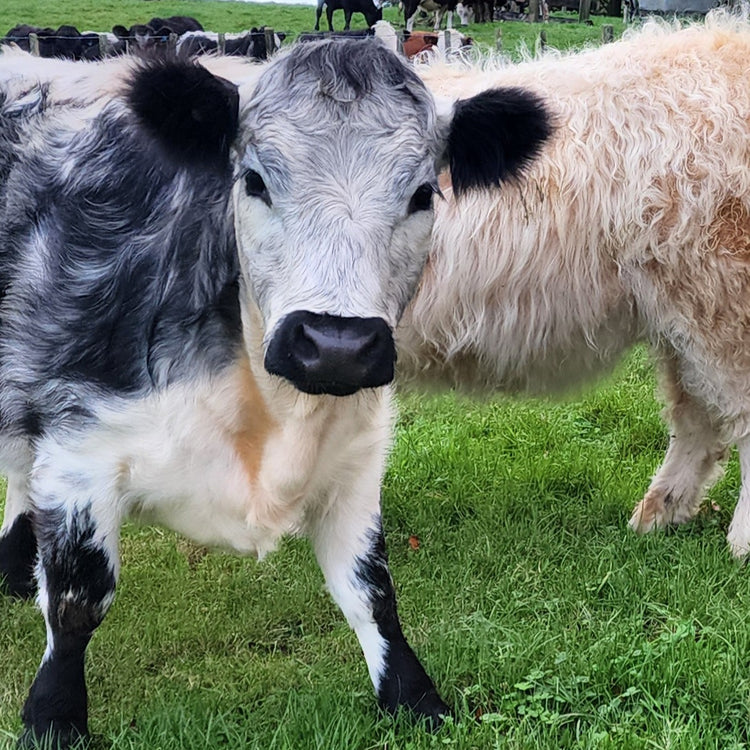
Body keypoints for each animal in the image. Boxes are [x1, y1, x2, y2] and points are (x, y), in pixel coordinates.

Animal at [0, 40, 550, 748]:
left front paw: (413, 696)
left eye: (423, 193)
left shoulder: (357, 455)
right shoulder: (79, 445)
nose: (336, 342)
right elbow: (78, 600)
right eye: (255, 181)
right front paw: (53, 718)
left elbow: (371, 589)